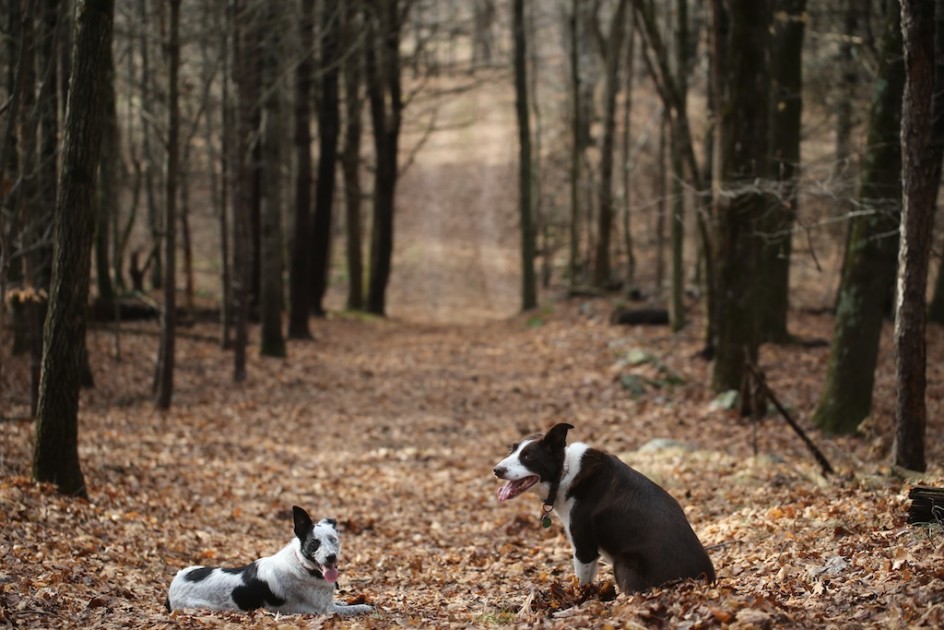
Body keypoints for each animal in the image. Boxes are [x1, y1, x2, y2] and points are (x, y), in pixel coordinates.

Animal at [166, 506, 372, 620]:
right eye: (314, 543)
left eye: (333, 540)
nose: (331, 557)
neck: (303, 565)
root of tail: (171, 588)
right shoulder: (326, 610)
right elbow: (355, 608)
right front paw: (366, 606)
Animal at [494, 424, 716, 596]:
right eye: (511, 451)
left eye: (528, 456)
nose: (496, 470)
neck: (565, 472)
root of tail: (704, 581)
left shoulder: (584, 549)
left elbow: (581, 583)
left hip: (624, 562)